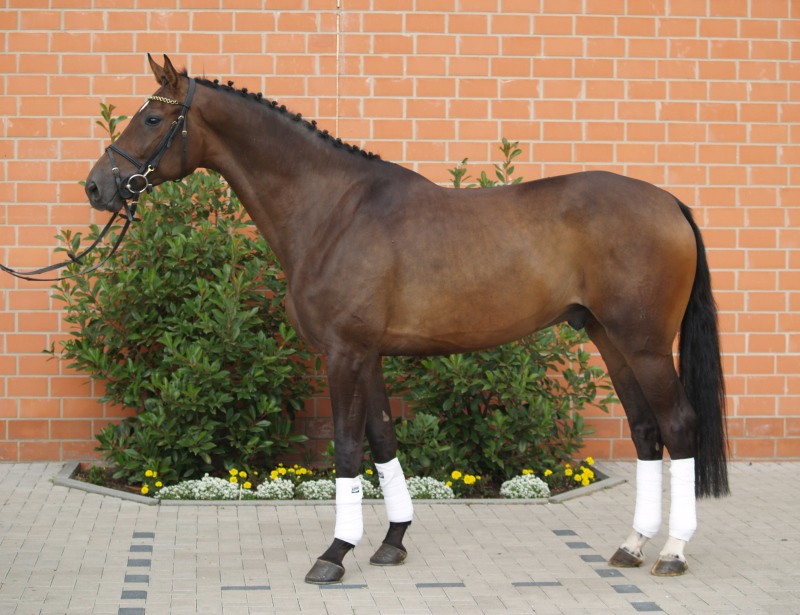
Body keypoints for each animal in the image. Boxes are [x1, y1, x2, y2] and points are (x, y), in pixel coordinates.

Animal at [85, 55, 729, 584]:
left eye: (150, 118)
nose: (97, 186)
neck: (333, 210)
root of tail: (670, 203)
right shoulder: (366, 354)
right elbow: (382, 439)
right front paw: (392, 541)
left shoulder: (344, 353)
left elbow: (348, 448)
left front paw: (333, 553)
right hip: (609, 339)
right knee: (645, 432)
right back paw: (632, 546)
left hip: (644, 345)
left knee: (678, 426)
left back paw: (673, 552)